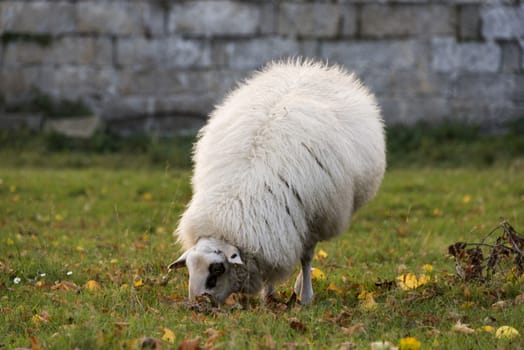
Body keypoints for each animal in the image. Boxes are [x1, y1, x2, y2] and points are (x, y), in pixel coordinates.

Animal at [168, 58, 384, 304]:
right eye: (189, 270)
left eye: (216, 272)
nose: (196, 306)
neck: (238, 197)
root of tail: (306, 67)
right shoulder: (275, 228)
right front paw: (268, 295)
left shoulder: (311, 216)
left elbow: (306, 257)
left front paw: (305, 297)